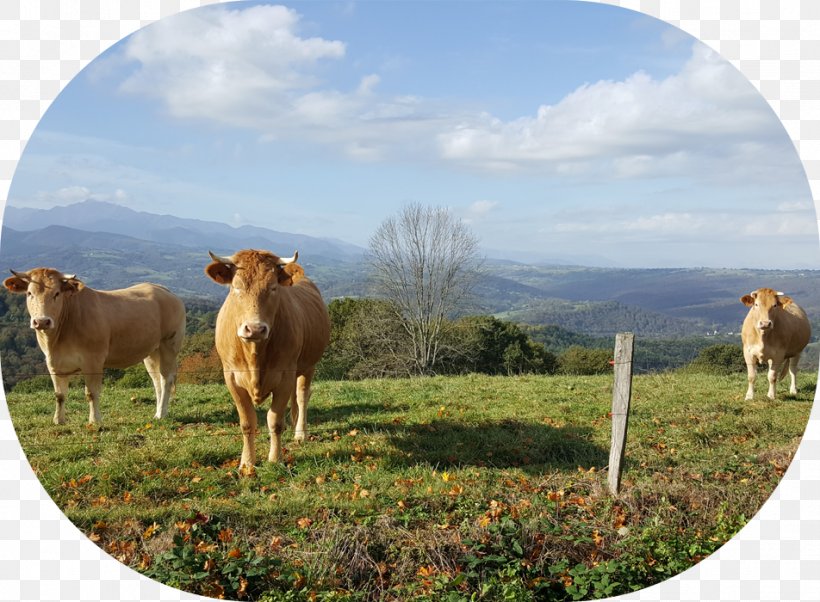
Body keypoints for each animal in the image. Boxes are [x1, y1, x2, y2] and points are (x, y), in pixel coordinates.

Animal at [3, 268, 186, 422]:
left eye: (57, 293)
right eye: (29, 293)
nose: (42, 321)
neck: (56, 342)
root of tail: (162, 289)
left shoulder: (93, 360)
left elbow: (91, 393)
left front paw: (95, 420)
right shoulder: (53, 364)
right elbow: (59, 395)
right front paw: (58, 420)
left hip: (169, 344)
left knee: (166, 379)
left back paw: (161, 414)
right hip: (151, 351)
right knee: (156, 380)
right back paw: (157, 412)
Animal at [205, 247, 330, 468]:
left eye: (273, 288)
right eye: (236, 287)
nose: (255, 328)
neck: (254, 354)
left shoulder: (284, 375)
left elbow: (275, 420)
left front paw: (275, 459)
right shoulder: (231, 378)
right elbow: (247, 422)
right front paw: (247, 463)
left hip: (308, 366)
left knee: (302, 396)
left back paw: (300, 433)